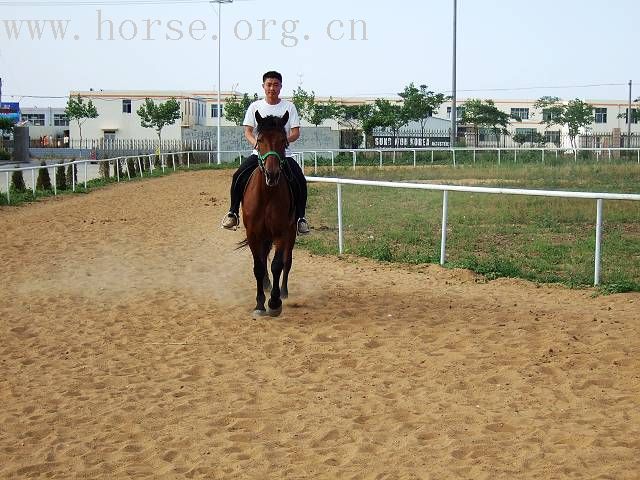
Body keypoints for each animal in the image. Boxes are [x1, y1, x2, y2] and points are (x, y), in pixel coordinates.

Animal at [242, 110, 298, 316]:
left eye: (283, 140)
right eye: (260, 139)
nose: (272, 174)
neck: (267, 194)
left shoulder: (282, 233)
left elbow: (277, 265)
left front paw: (274, 303)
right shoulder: (253, 234)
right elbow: (258, 267)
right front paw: (260, 304)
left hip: (291, 233)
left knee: (287, 261)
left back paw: (283, 292)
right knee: (264, 257)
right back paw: (266, 286)